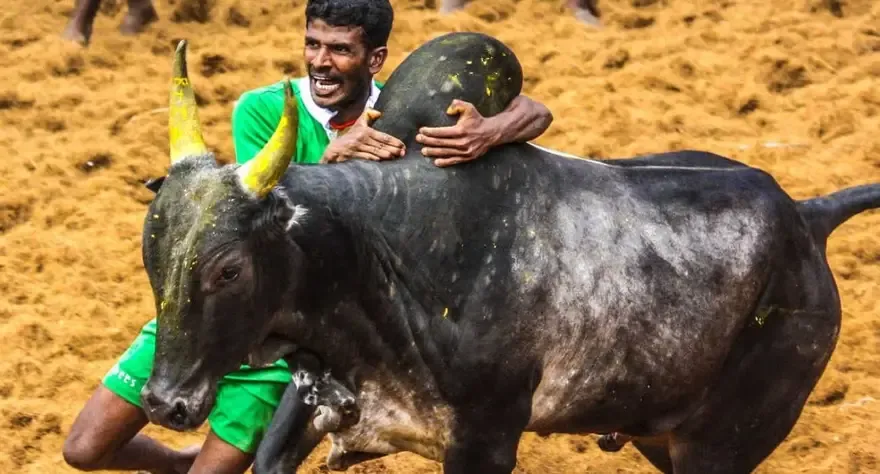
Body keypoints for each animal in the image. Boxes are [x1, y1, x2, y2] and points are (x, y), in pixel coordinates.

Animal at [137, 32, 880, 474]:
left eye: (229, 269)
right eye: (151, 254)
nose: (165, 403)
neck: (379, 254)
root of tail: (805, 216)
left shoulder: (486, 439)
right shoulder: (313, 403)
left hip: (723, 443)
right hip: (659, 432)